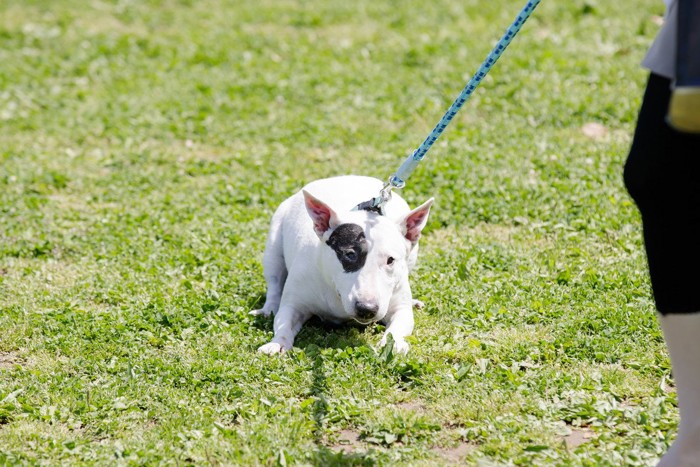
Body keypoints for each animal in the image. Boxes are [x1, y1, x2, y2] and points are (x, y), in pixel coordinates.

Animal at [252, 176, 432, 354]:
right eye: (350, 254)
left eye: (390, 260)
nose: (366, 309)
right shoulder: (294, 302)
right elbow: (284, 321)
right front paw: (277, 343)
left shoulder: (398, 306)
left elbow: (400, 324)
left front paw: (393, 344)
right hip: (274, 246)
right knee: (274, 284)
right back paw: (268, 309)